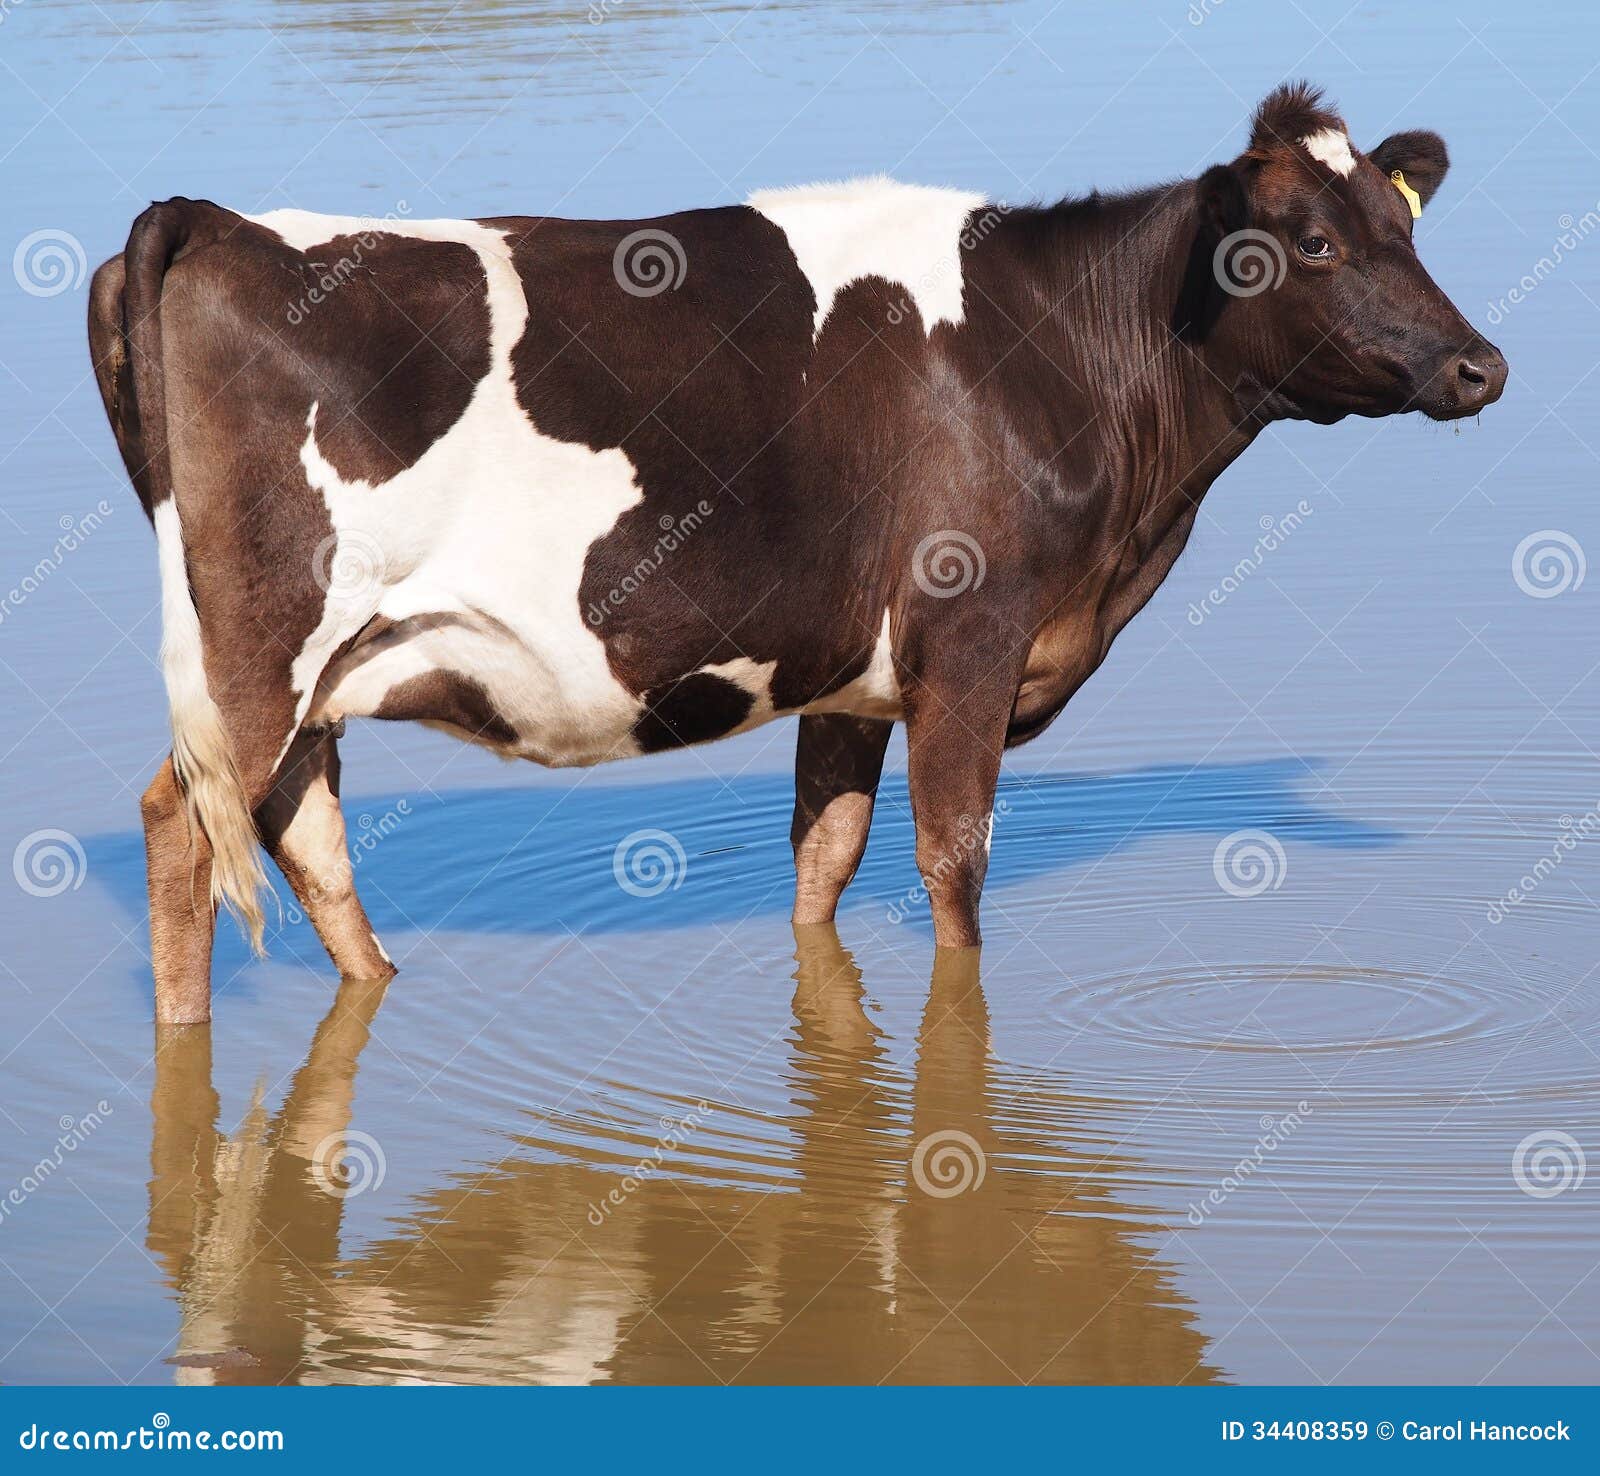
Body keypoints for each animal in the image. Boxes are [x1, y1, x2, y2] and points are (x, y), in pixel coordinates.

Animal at [88, 82, 1506, 1023]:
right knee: (183, 826)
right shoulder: (969, 642)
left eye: (1404, 225)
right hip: (260, 649)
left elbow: (823, 865)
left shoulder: (851, 678)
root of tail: (219, 220)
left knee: (299, 828)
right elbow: (953, 870)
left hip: (323, 669)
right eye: (1311, 242)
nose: (1477, 365)